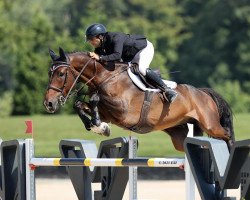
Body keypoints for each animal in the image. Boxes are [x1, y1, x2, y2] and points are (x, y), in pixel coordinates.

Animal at [43, 47, 234, 151]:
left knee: (226, 135)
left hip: (210, 124)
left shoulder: (123, 112)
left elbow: (95, 99)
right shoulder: (109, 114)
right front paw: (99, 127)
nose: (49, 103)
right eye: (49, 73)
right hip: (180, 135)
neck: (105, 77)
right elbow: (80, 104)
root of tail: (203, 93)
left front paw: (99, 126)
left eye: (61, 74)